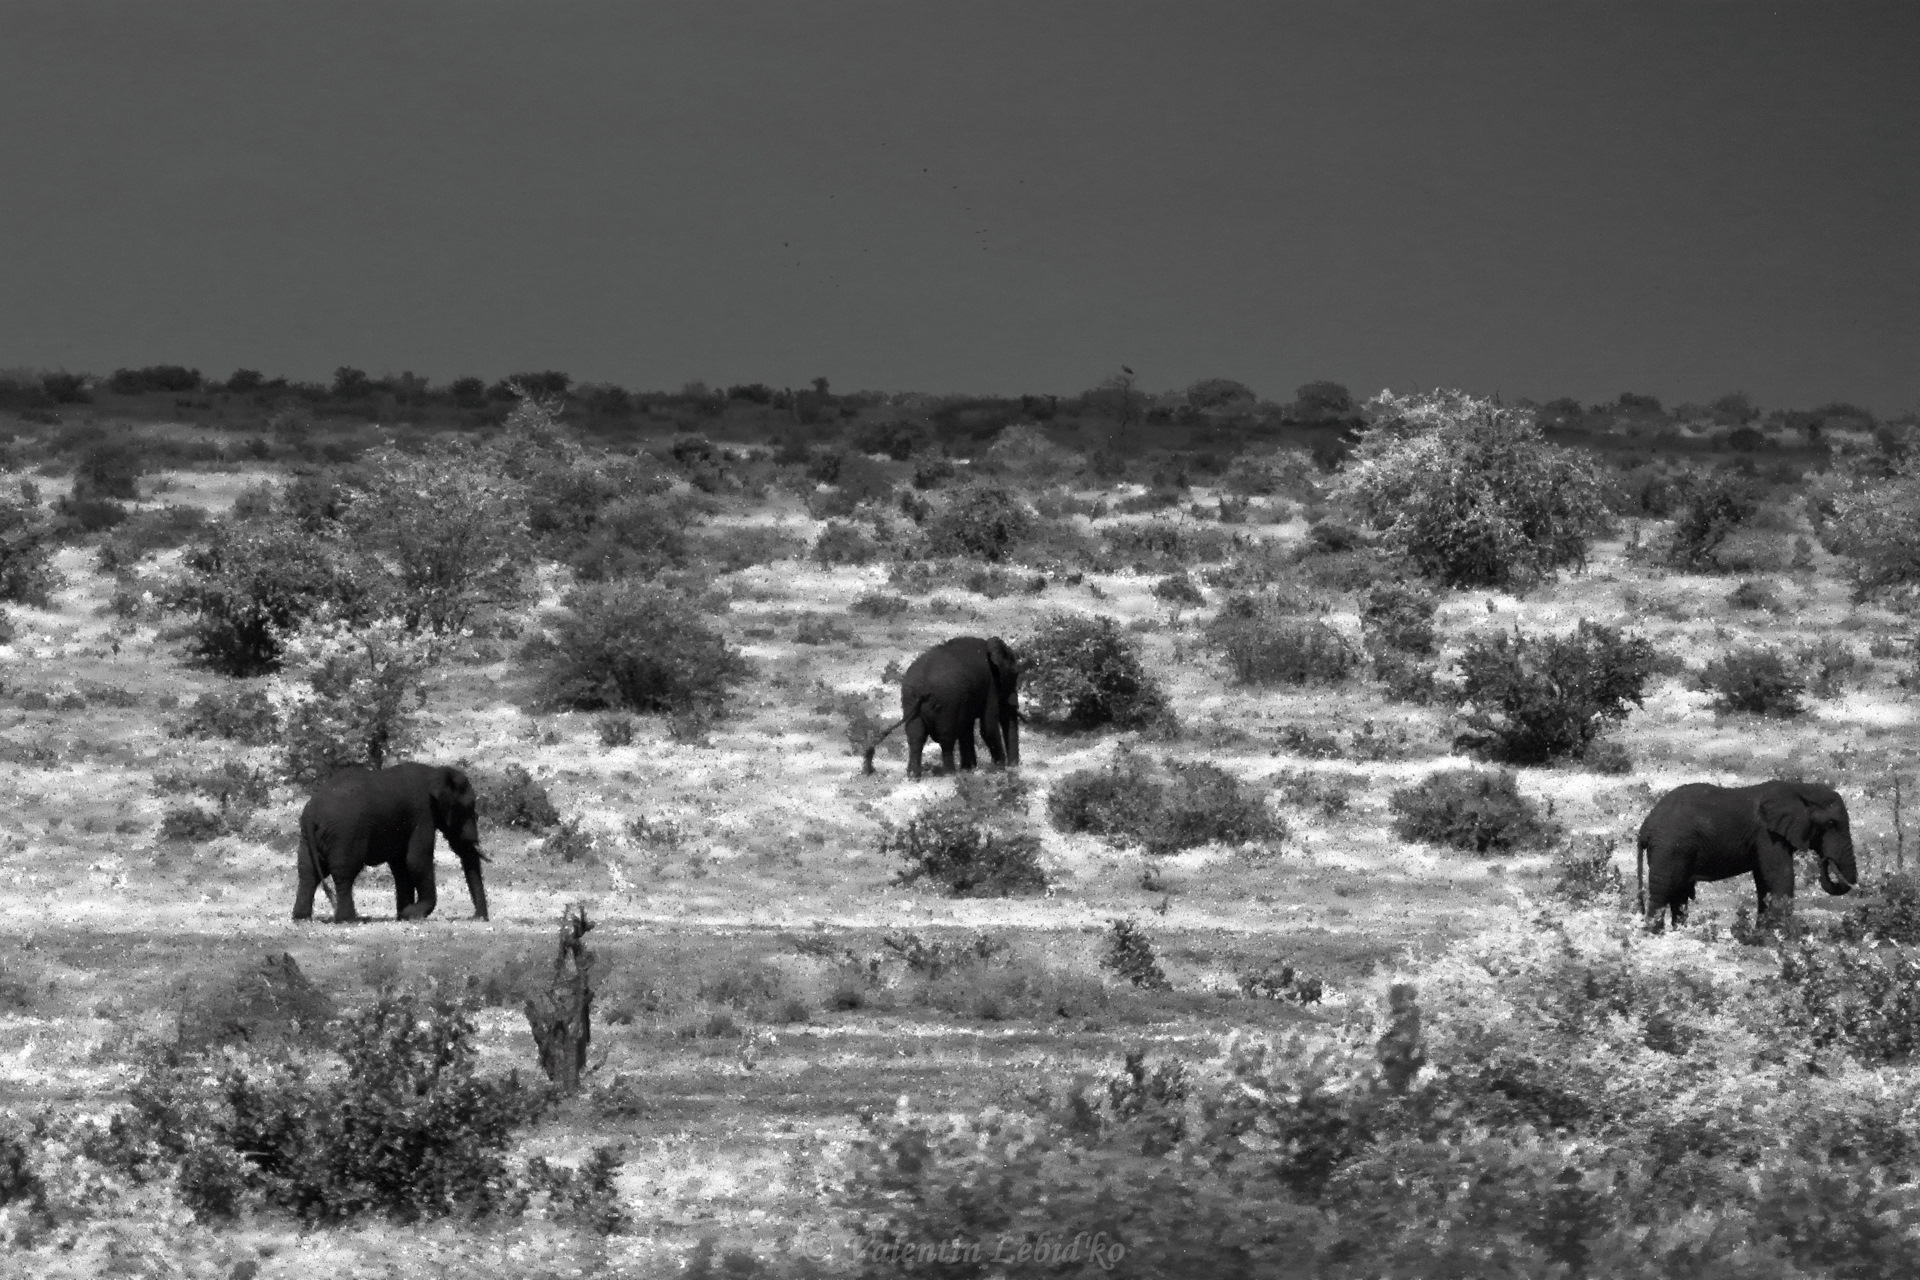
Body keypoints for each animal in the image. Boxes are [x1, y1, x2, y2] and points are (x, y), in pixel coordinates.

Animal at [291, 759, 491, 921]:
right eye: (468, 809)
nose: (477, 918)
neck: (436, 772)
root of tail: (311, 812)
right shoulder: (423, 813)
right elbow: (417, 860)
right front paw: (412, 913)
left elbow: (401, 865)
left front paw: (403, 914)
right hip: (345, 833)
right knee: (344, 872)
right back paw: (350, 919)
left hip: (309, 836)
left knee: (308, 871)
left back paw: (302, 917)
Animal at [867, 637, 1021, 782]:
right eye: (1015, 674)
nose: (1013, 766)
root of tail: (922, 687)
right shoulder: (991, 686)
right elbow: (987, 727)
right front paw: (998, 768)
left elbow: (966, 728)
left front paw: (969, 769)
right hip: (945, 702)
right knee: (946, 736)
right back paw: (949, 773)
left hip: (910, 700)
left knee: (916, 736)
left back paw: (914, 776)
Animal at [1635, 775, 1858, 924]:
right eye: (1830, 824)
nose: (1826, 860)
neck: (1800, 789)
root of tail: (1645, 827)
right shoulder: (1767, 835)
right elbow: (1781, 877)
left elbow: (1764, 881)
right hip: (1669, 847)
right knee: (1663, 891)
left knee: (1678, 894)